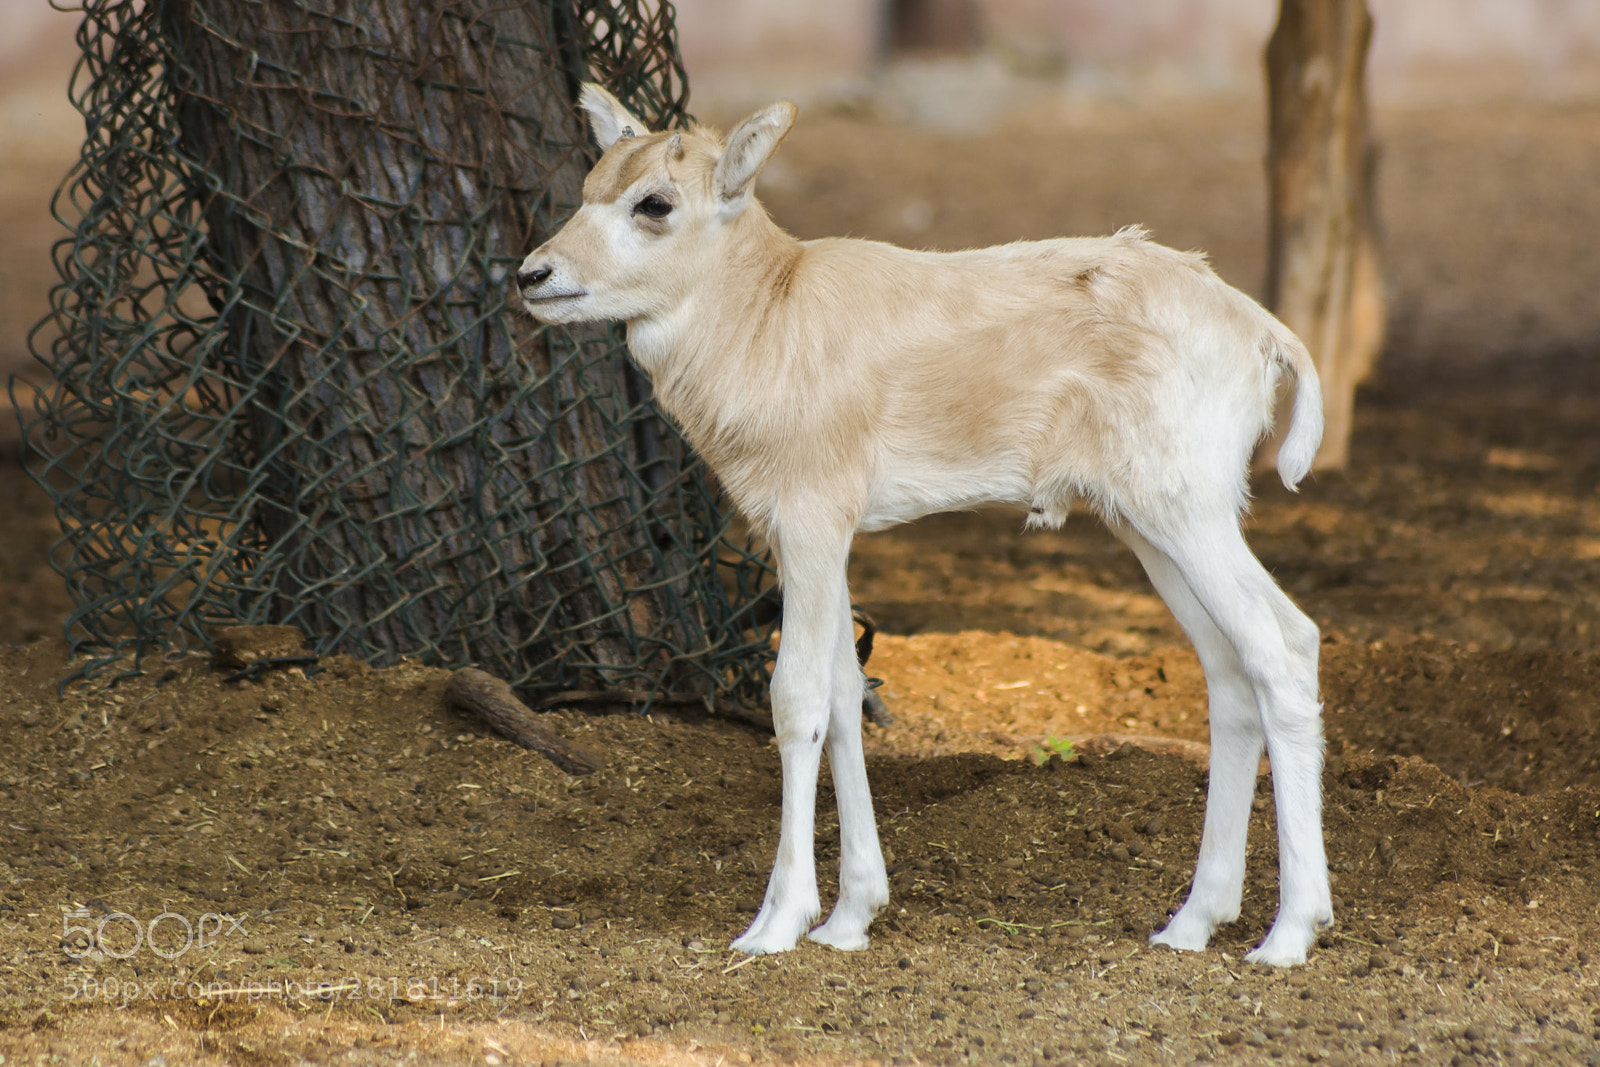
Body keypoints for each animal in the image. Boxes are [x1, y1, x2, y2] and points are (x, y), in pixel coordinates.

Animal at [517, 84, 1333, 965]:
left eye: (654, 202)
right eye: (590, 183)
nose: (533, 274)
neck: (772, 316)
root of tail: (1262, 330)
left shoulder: (811, 519)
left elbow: (796, 695)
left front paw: (777, 922)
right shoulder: (815, 538)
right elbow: (847, 692)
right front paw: (849, 917)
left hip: (1189, 510)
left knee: (1285, 643)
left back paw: (1290, 932)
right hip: (1146, 524)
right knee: (1227, 667)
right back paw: (1191, 921)